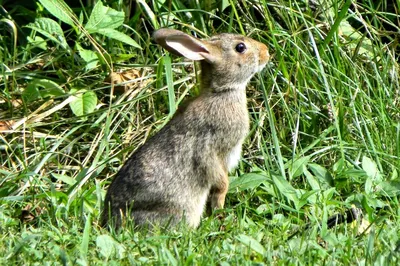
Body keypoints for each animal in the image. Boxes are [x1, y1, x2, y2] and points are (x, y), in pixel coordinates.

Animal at [101, 28, 268, 229]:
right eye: (240, 47)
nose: (266, 51)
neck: (221, 92)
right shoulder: (210, 149)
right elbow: (219, 182)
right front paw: (219, 211)